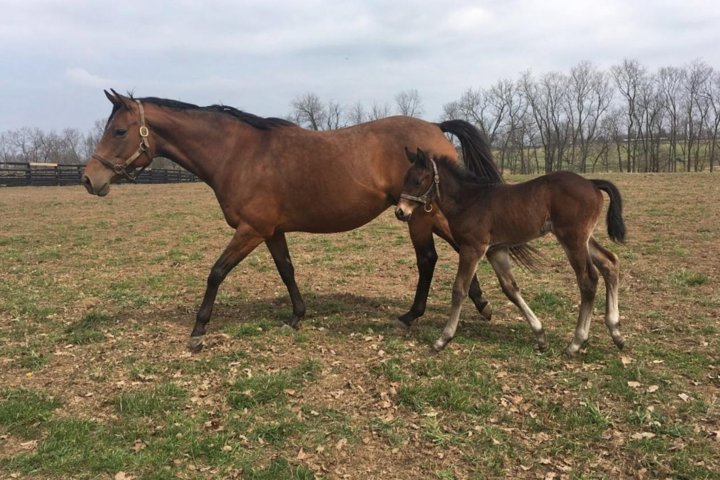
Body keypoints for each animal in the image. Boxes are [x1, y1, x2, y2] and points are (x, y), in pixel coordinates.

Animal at [82, 90, 535, 351]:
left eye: (119, 131)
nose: (90, 179)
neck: (238, 153)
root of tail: (436, 127)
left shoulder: (250, 230)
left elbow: (216, 272)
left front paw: (198, 331)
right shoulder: (271, 231)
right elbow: (286, 270)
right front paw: (298, 314)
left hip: (418, 216)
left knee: (429, 261)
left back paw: (413, 315)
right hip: (429, 213)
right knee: (463, 249)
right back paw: (481, 304)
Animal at [395, 148, 626, 356]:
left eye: (417, 181)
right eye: (405, 178)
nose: (400, 212)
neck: (470, 200)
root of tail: (591, 183)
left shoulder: (473, 248)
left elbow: (459, 289)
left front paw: (443, 339)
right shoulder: (496, 250)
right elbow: (510, 288)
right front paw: (540, 336)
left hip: (572, 239)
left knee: (588, 280)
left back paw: (576, 343)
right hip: (584, 239)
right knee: (610, 262)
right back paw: (616, 332)